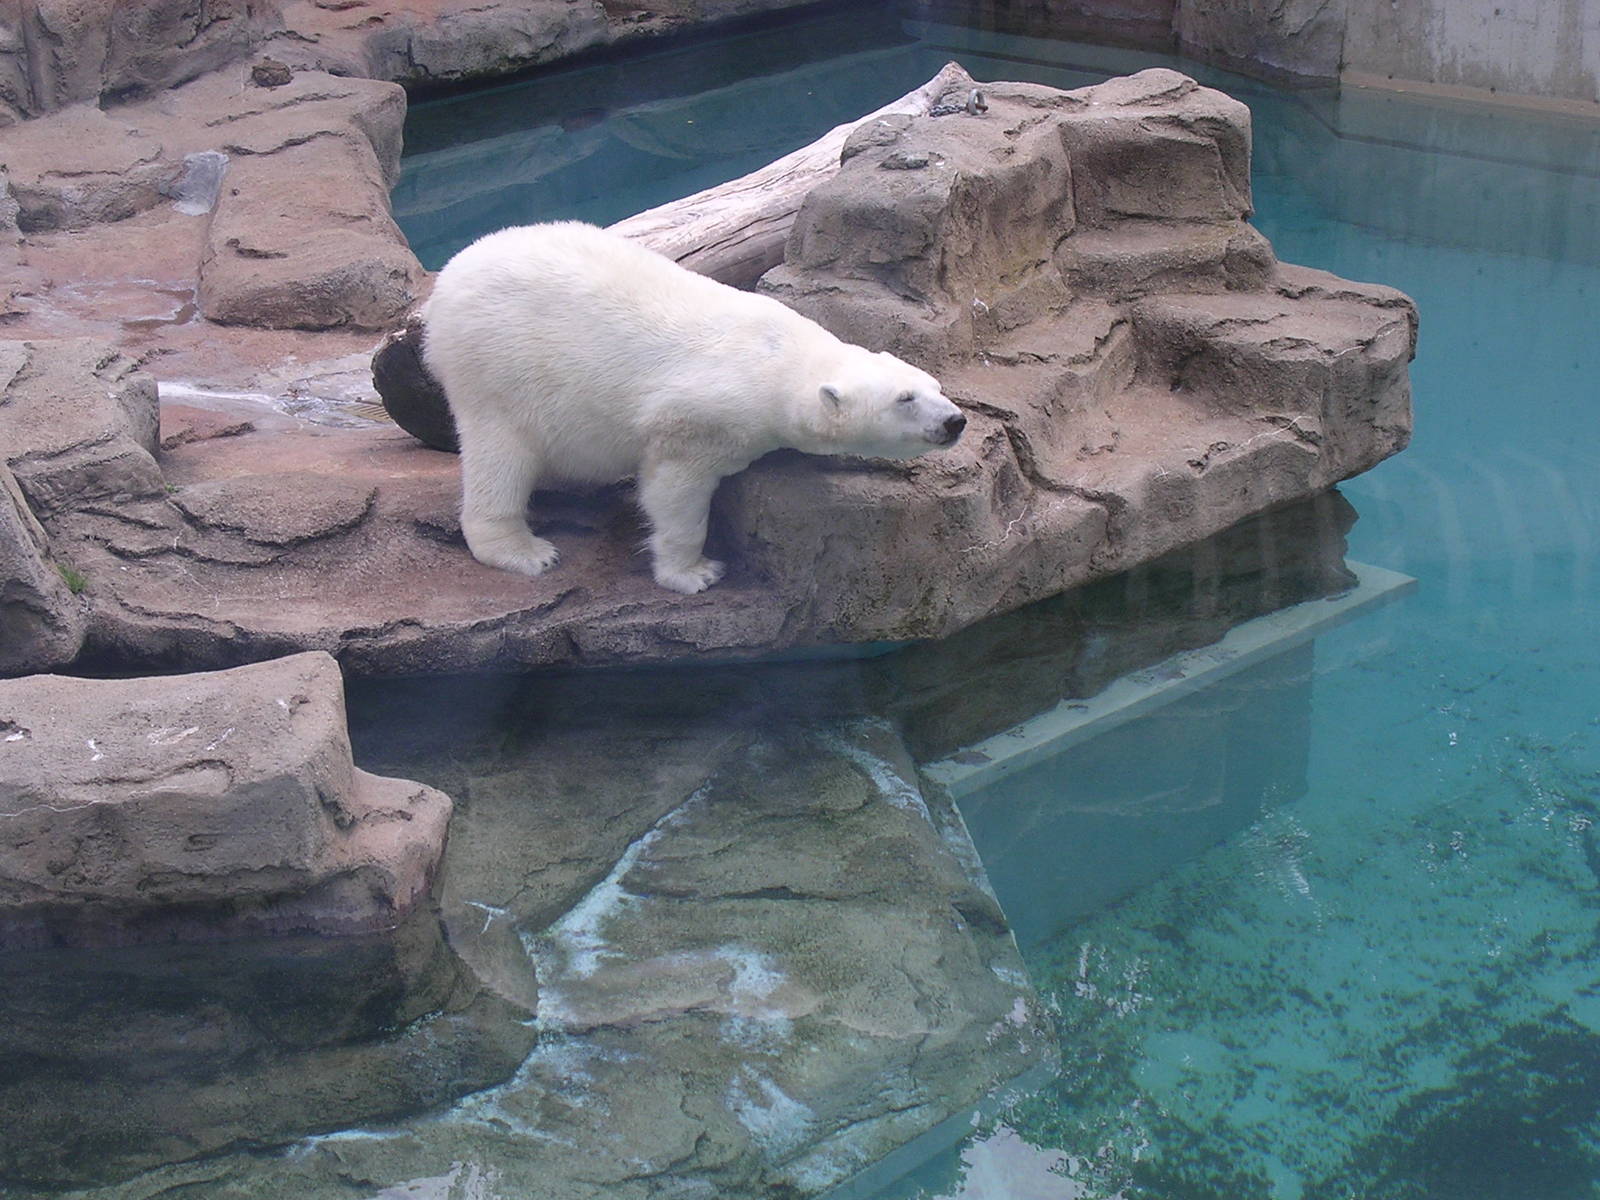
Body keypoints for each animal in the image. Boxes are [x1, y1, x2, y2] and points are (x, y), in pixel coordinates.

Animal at [421, 221, 967, 594]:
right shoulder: (699, 417)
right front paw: (696, 573)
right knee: (501, 456)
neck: (776, 355)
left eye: (934, 385)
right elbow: (673, 492)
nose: (955, 421)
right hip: (499, 365)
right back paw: (526, 551)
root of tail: (447, 281)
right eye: (904, 399)